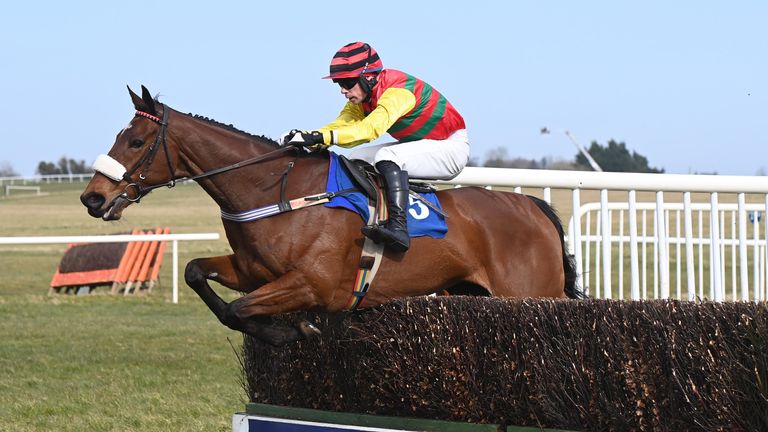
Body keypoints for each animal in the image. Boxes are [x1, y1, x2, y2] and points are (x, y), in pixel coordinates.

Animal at [80, 85, 582, 346]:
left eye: (136, 141)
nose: (93, 198)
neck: (277, 192)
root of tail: (533, 206)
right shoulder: (252, 271)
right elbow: (196, 274)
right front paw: (286, 329)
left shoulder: (313, 283)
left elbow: (241, 308)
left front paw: (290, 330)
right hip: (473, 292)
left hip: (534, 294)